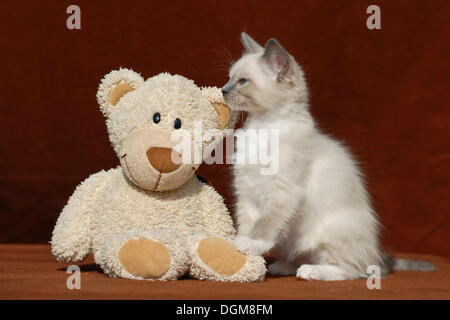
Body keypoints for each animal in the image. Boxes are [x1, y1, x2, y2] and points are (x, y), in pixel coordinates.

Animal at [222, 31, 436, 278]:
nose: (223, 90)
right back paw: (283, 266)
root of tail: (376, 255)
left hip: (333, 232)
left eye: (242, 82)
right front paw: (242, 249)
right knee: (304, 255)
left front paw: (249, 244)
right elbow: (247, 223)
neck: (263, 126)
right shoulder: (246, 191)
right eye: (229, 78)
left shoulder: (283, 191)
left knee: (353, 269)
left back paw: (310, 272)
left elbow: (265, 224)